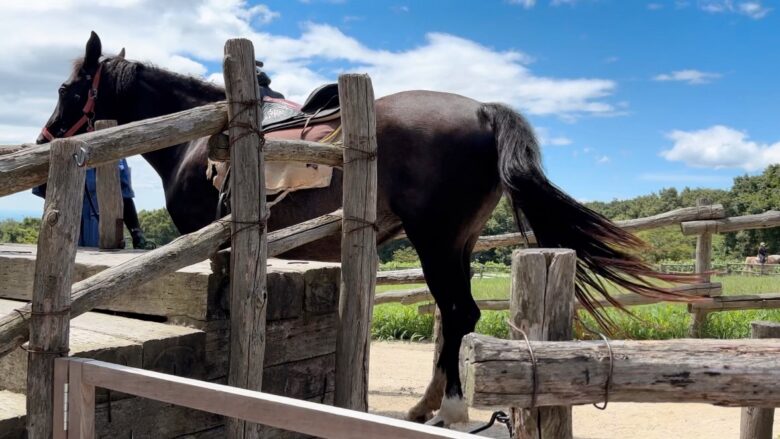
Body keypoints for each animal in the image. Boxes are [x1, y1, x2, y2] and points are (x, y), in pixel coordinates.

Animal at [39, 32, 688, 428]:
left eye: (68, 89)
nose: (45, 142)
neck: (199, 140)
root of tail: (482, 110)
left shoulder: (208, 239)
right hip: (459, 243)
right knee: (456, 316)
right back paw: (426, 407)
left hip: (436, 241)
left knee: (460, 314)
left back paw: (449, 411)